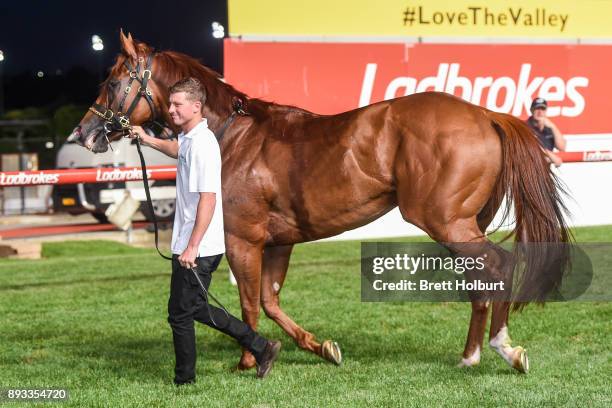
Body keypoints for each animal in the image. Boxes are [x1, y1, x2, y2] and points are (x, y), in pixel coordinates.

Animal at [69, 33, 572, 374]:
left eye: (112, 81)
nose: (83, 134)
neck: (233, 136)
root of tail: (485, 114)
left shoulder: (243, 238)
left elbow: (250, 304)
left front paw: (248, 360)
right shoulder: (278, 242)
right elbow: (270, 301)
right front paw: (320, 347)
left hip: (446, 222)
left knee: (500, 266)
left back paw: (502, 348)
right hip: (462, 223)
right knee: (481, 279)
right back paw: (471, 355)